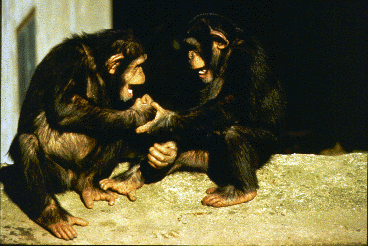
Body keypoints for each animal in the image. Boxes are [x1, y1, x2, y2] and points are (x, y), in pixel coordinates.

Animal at [6, 29, 177, 240]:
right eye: (138, 65)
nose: (143, 73)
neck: (98, 68)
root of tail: (71, 179)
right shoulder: (69, 58)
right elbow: (64, 105)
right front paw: (141, 112)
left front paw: (165, 154)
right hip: (56, 175)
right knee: (27, 142)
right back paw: (54, 217)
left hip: (83, 168)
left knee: (117, 127)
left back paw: (88, 186)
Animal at [100, 13, 288, 208]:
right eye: (188, 48)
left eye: (194, 47)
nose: (190, 55)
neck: (227, 55)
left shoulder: (246, 57)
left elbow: (235, 102)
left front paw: (163, 119)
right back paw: (147, 167)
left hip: (266, 146)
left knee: (234, 133)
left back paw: (240, 190)